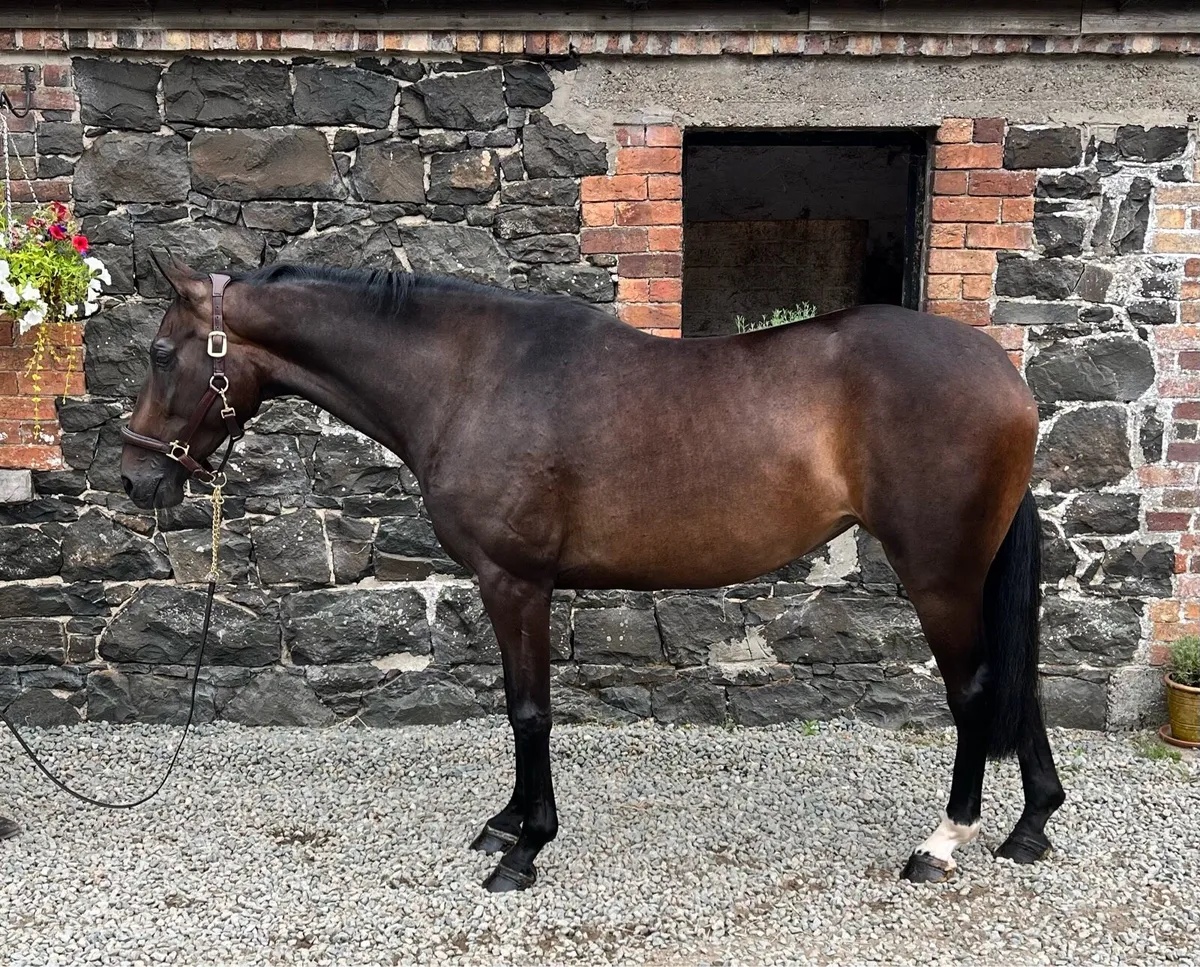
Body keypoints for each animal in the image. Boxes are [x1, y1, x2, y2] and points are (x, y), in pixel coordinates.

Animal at [119, 254, 1065, 892]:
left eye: (163, 353)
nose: (134, 477)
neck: (469, 377)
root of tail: (1006, 377)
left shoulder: (516, 581)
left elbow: (529, 711)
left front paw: (527, 846)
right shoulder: (506, 585)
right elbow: (516, 703)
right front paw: (506, 823)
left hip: (940, 574)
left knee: (978, 689)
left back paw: (943, 842)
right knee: (1020, 682)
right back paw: (1031, 826)